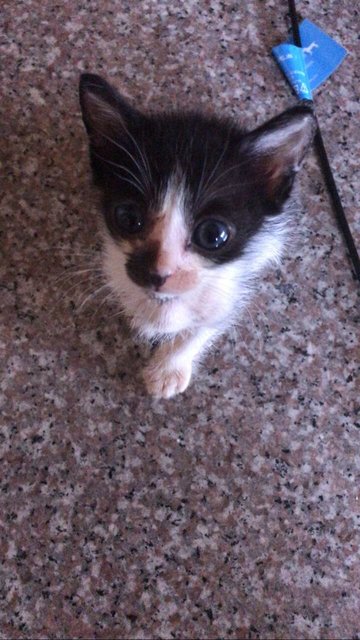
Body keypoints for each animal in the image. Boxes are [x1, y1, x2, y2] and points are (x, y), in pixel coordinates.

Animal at [79, 72, 316, 398]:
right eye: (128, 217)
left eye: (213, 234)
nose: (157, 273)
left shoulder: (229, 287)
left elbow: (208, 324)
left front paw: (169, 368)